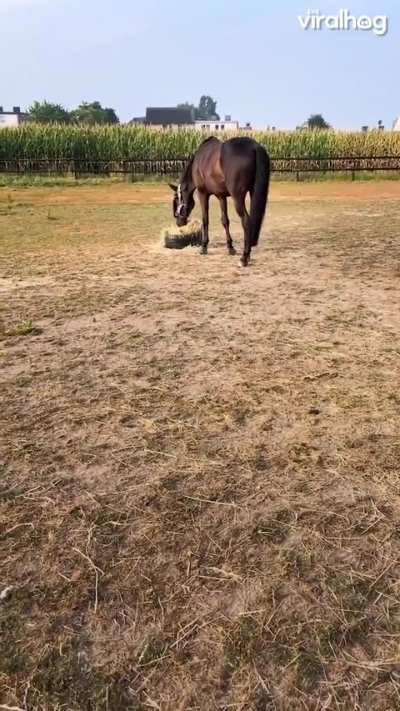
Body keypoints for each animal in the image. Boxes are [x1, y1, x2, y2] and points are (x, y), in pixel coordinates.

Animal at [169, 136, 270, 266]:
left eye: (176, 199)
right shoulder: (221, 196)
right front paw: (230, 248)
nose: (179, 223)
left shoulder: (203, 193)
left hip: (237, 197)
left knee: (246, 221)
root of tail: (254, 147)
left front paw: (203, 247)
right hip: (253, 192)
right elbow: (225, 221)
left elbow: (205, 219)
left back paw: (244, 258)